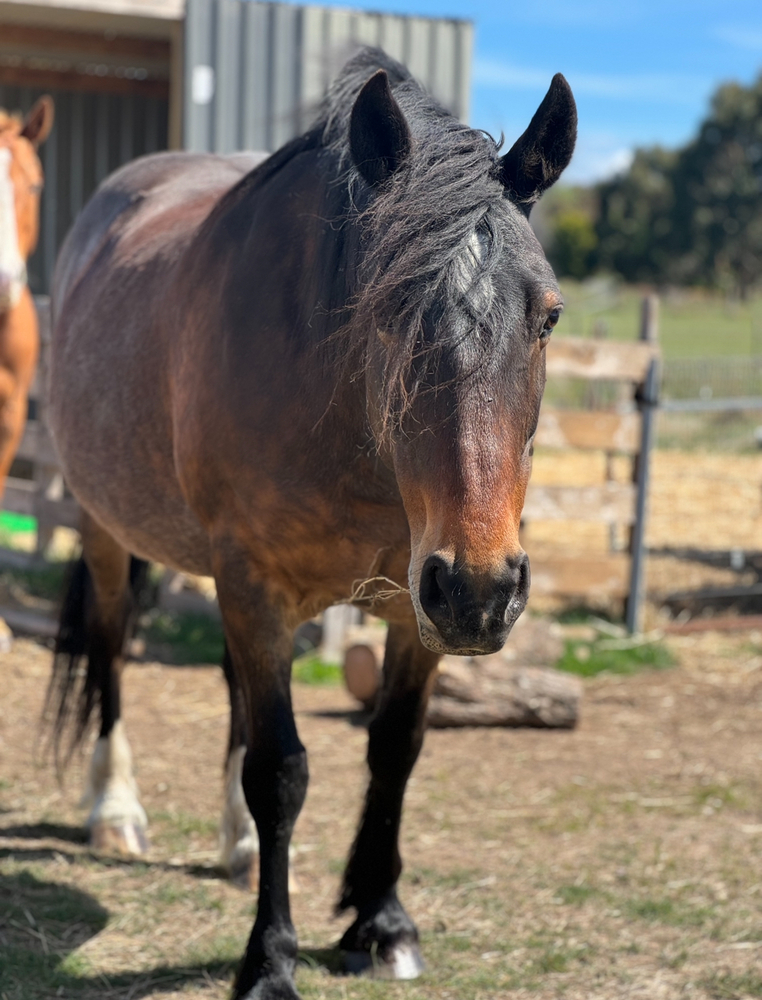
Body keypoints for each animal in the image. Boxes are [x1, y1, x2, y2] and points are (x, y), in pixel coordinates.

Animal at [46, 48, 576, 999]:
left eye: (547, 315)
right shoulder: (257, 584)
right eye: (387, 311)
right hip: (110, 529)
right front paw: (269, 960)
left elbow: (393, 749)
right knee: (109, 648)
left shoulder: (413, 605)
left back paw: (238, 848)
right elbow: (281, 769)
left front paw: (382, 923)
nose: (484, 590)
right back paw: (115, 810)